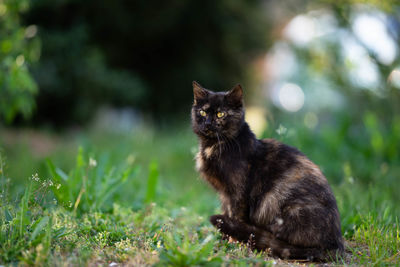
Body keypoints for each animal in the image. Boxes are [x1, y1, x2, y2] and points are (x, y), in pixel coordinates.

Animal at [191, 81, 344, 262]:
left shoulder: (238, 193)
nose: (207, 123)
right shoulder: (224, 194)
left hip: (284, 208)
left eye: (221, 114)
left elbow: (235, 216)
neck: (213, 146)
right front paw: (223, 240)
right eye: (202, 112)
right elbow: (226, 212)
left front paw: (233, 243)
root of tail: (336, 244)